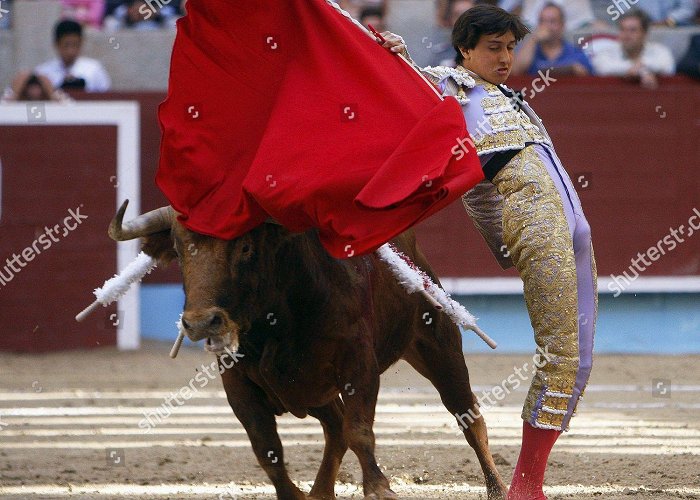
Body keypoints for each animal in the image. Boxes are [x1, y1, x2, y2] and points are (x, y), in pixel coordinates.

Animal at [109, 201, 506, 498]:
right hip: (314, 392)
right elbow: (266, 448)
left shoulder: (358, 365)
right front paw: (296, 495)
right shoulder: (237, 382)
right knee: (333, 427)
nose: (201, 322)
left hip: (438, 347)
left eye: (246, 247)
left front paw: (380, 489)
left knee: (468, 416)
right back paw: (319, 492)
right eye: (178, 250)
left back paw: (498, 489)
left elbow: (359, 430)